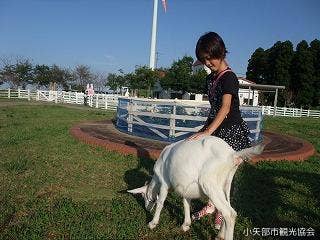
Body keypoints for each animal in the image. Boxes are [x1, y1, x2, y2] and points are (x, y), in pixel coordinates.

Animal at [127, 136, 262, 239]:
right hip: (225, 184)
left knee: (230, 213)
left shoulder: (165, 183)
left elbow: (161, 202)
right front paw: (185, 225)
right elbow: (186, 202)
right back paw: (220, 235)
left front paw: (152, 223)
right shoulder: (185, 187)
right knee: (227, 208)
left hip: (209, 183)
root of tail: (232, 155)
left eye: (143, 195)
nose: (147, 209)